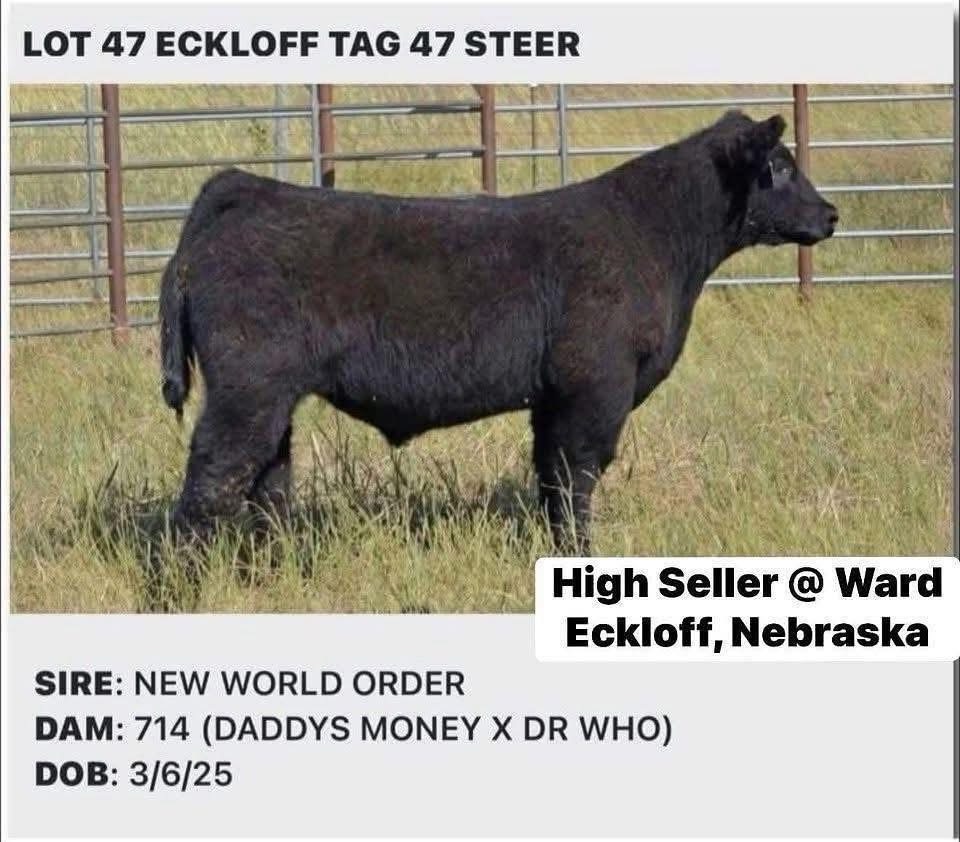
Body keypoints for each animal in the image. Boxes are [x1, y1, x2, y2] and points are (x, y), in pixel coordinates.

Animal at [159, 110, 837, 553]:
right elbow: (575, 479)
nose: (831, 214)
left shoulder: (553, 398)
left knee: (266, 486)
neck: (658, 238)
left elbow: (551, 480)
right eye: (779, 166)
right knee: (210, 484)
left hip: (272, 399)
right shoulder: (596, 388)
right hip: (248, 388)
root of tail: (246, 189)